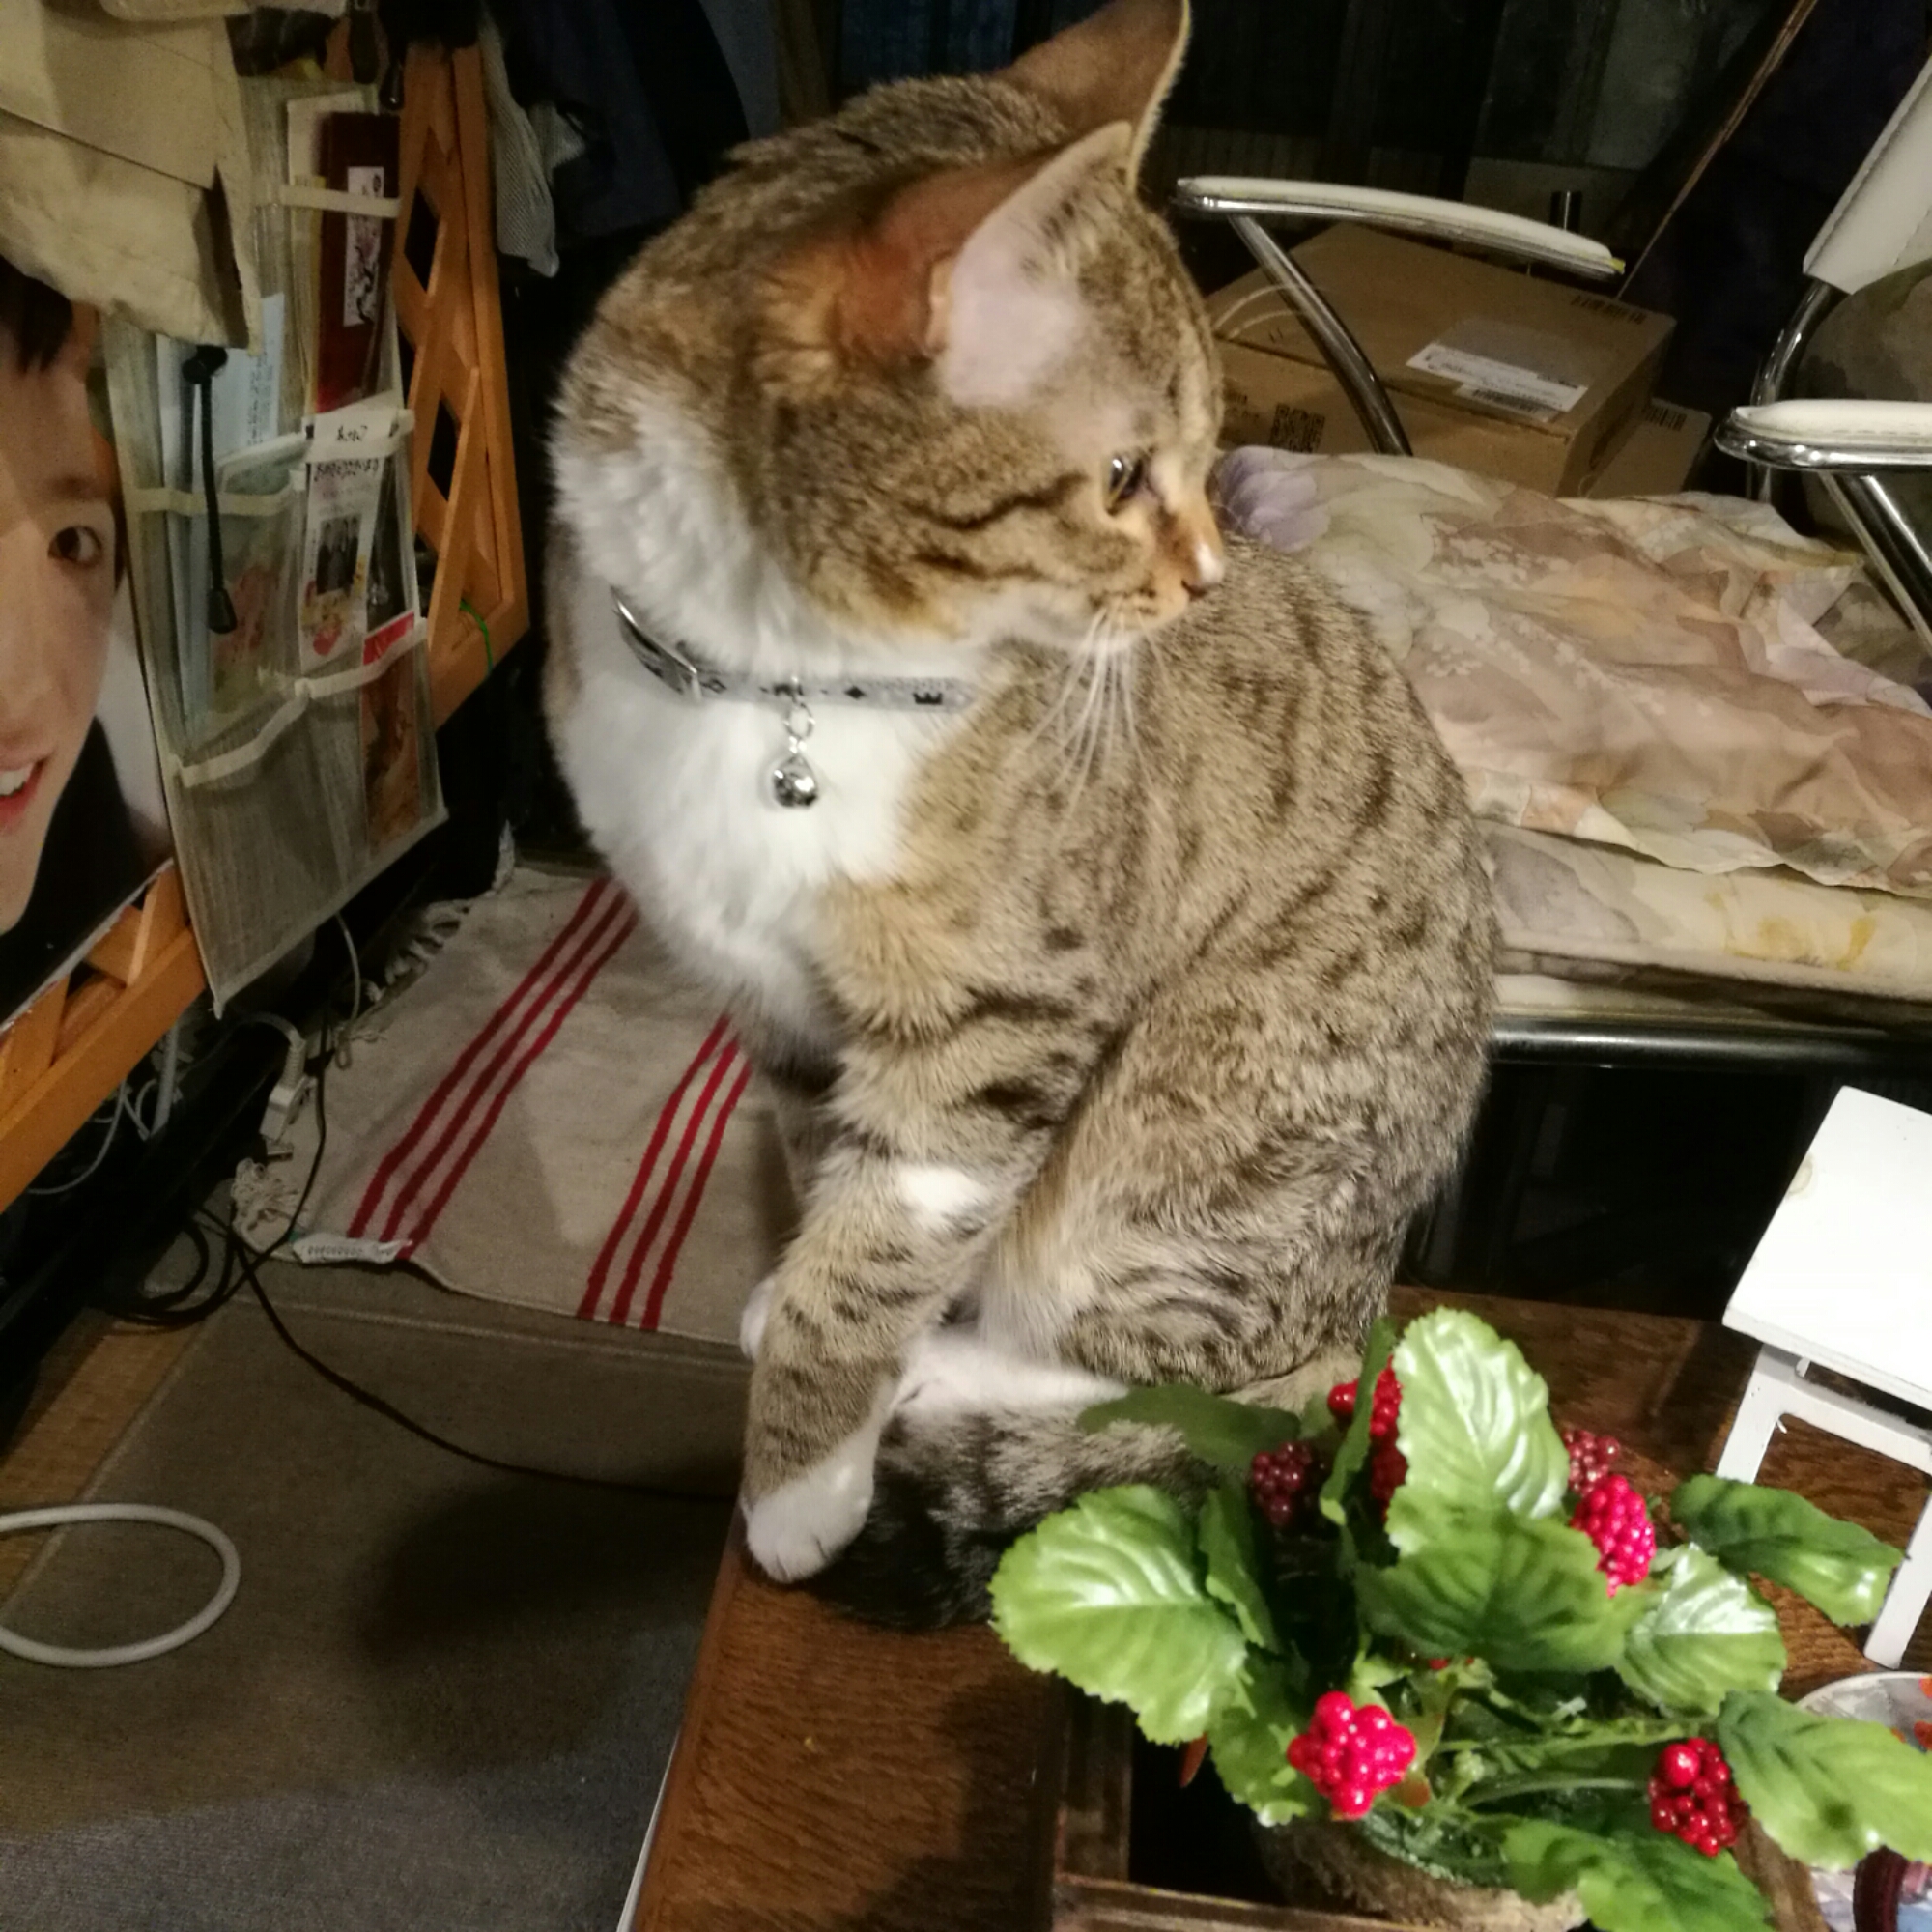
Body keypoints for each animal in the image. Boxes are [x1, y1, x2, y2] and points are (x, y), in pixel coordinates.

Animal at [544, 0, 1494, 1622]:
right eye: (1119, 477)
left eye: (1201, 460)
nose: (1208, 580)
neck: (775, 682)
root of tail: (1373, 1296)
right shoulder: (774, 1001)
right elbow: (829, 1176)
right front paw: (799, 1291)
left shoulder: (1001, 1022)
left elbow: (880, 1261)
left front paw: (802, 1481)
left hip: (1186, 1132)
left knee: (1218, 1382)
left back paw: (958, 1375)